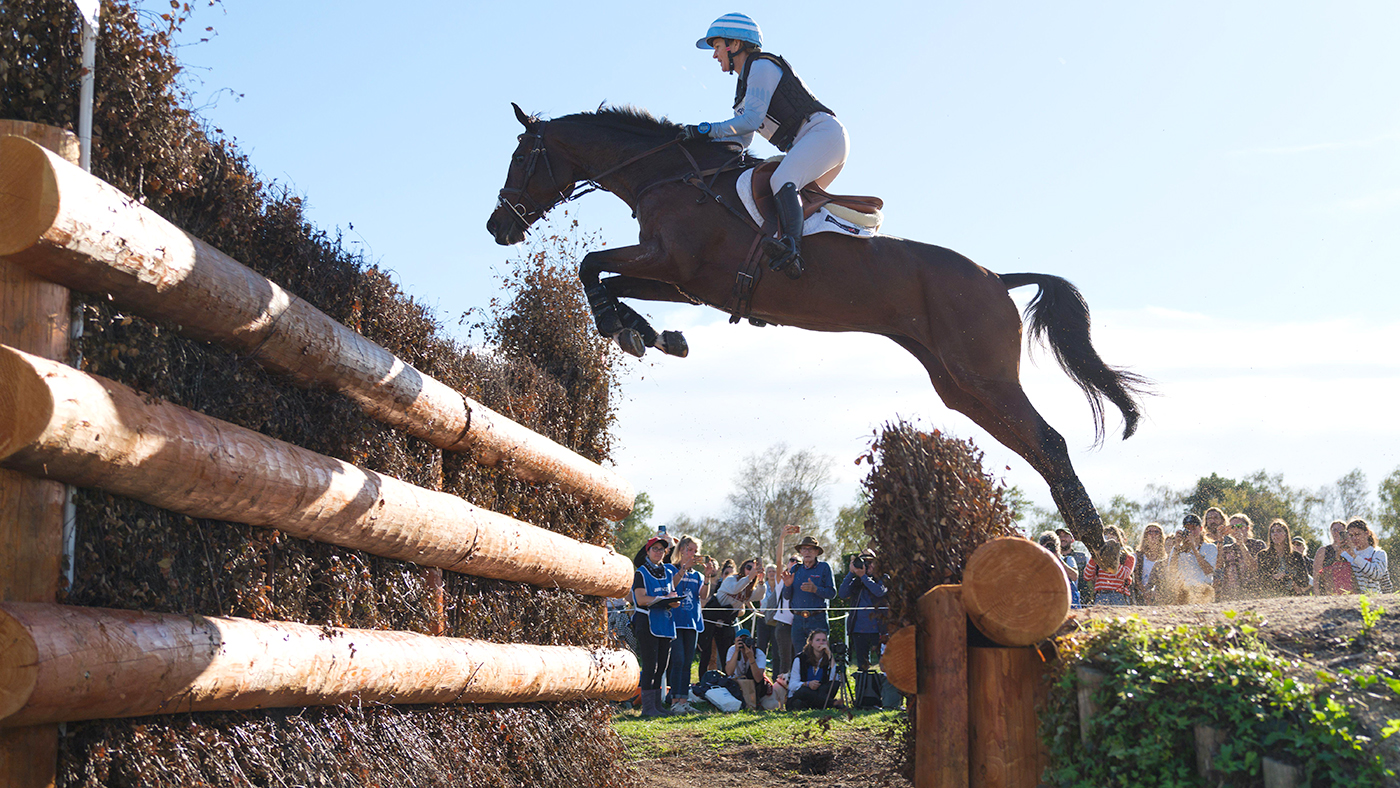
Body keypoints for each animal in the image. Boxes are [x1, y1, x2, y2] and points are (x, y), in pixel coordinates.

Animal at [485, 104, 1147, 553]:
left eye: (520, 156)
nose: (499, 226)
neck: (667, 176)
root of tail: (997, 278)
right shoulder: (681, 281)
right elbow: (605, 276)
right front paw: (651, 334)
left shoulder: (673, 264)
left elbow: (590, 264)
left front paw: (624, 328)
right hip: (958, 386)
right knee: (1035, 447)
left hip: (982, 374)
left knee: (1050, 442)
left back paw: (1098, 546)